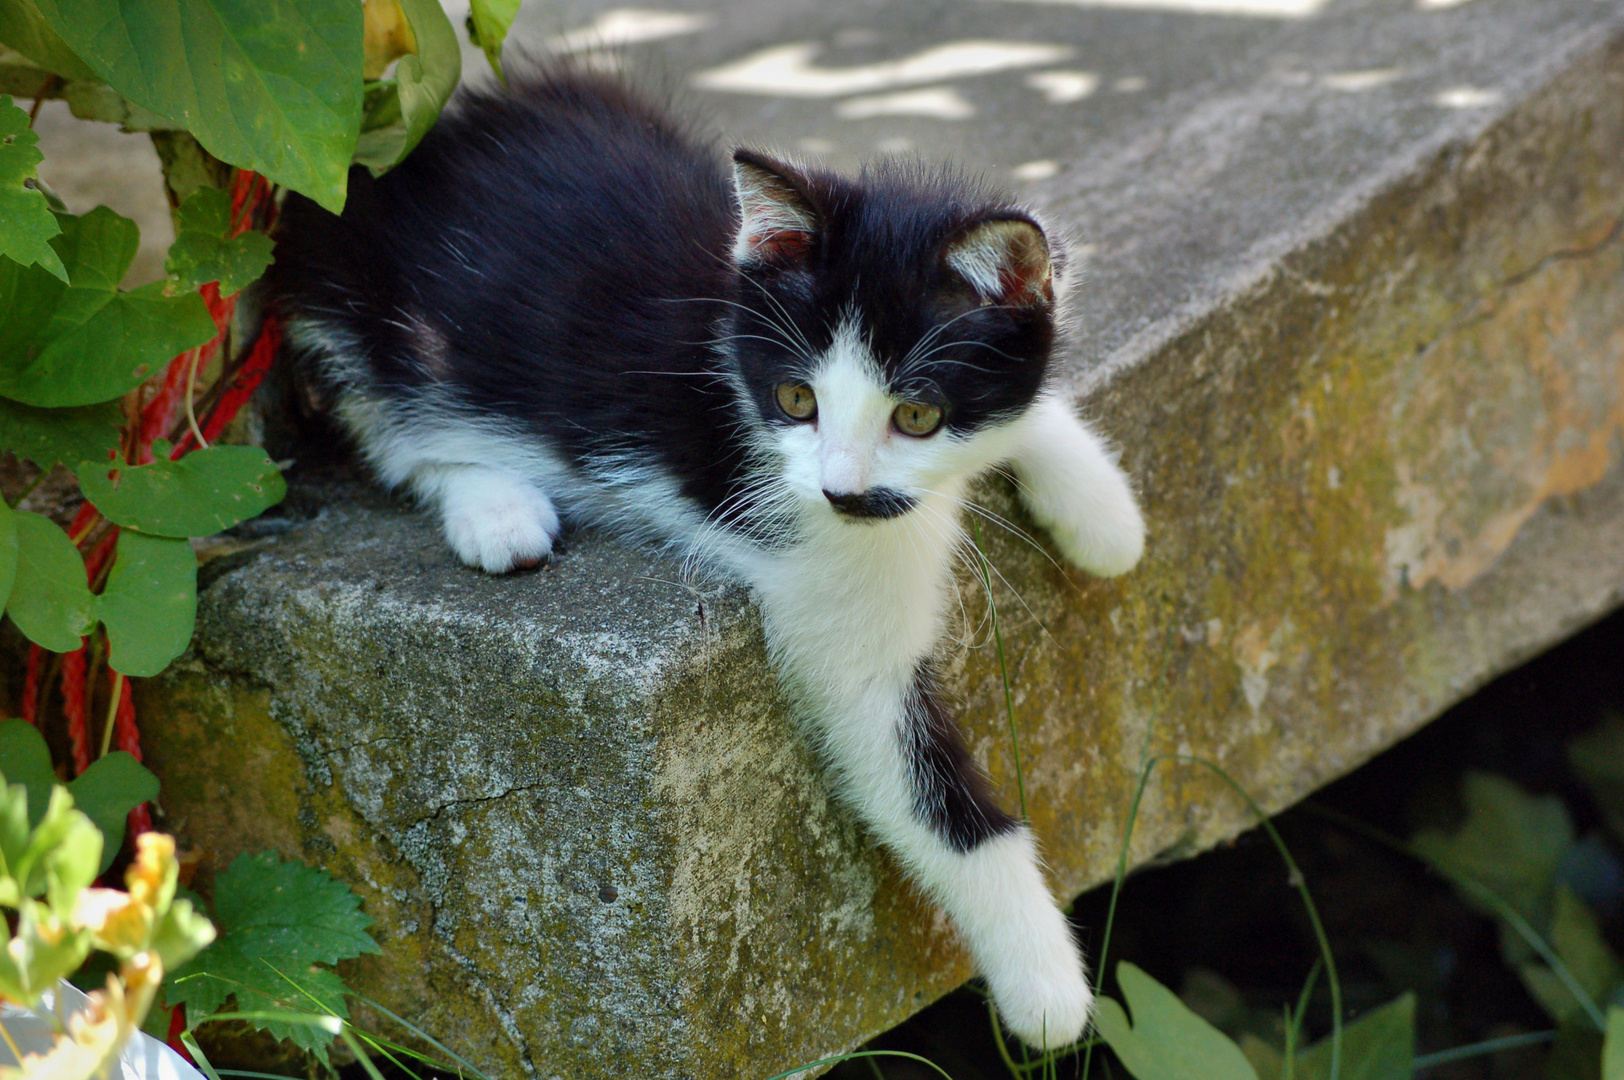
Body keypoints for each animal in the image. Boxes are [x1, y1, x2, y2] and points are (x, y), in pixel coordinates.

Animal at [269, 67, 1143, 1045]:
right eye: (797, 400)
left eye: (916, 415)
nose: (839, 491)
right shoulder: (831, 598)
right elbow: (927, 792)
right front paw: (1046, 984)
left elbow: (1025, 416)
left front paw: (1104, 514)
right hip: (352, 310)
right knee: (388, 428)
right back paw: (496, 509)